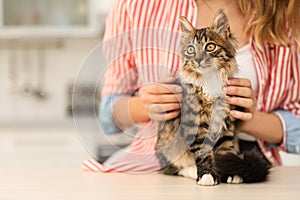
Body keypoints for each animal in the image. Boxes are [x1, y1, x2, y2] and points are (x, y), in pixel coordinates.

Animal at [156, 9, 270, 186]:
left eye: (210, 46)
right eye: (191, 49)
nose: (197, 59)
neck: (210, 80)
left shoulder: (226, 123)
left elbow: (225, 151)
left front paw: (232, 172)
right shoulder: (195, 125)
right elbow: (203, 154)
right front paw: (207, 174)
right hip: (166, 145)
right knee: (172, 168)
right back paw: (191, 170)